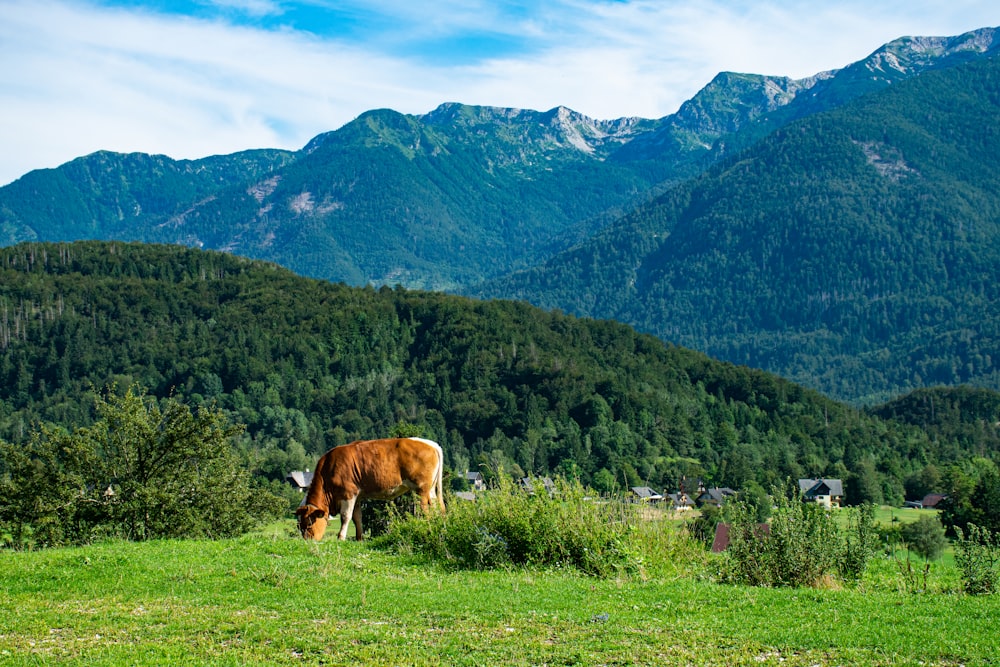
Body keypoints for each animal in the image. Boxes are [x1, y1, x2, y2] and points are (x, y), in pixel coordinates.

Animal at [292, 438, 442, 544]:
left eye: (309, 523)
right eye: (299, 526)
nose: (308, 541)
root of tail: (430, 443)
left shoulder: (349, 493)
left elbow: (345, 516)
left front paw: (341, 537)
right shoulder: (357, 497)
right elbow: (357, 517)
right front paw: (359, 539)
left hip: (421, 489)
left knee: (425, 510)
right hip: (430, 490)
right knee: (436, 507)